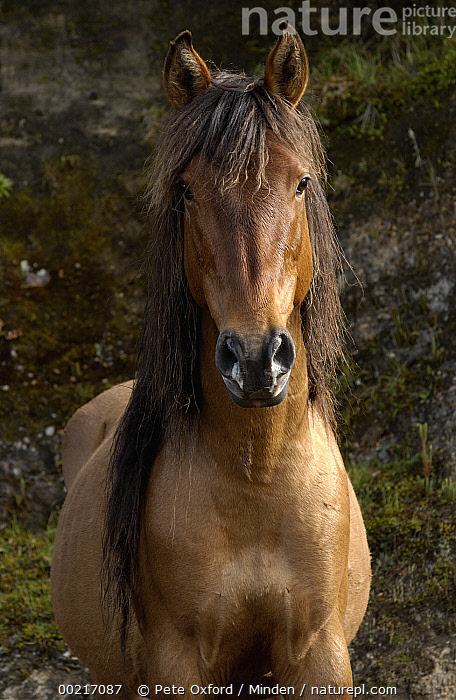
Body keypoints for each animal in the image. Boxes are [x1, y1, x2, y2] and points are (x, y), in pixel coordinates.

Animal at [51, 23, 370, 699]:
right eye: (188, 190)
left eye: (300, 182)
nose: (256, 359)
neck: (256, 476)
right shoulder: (177, 662)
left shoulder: (318, 653)